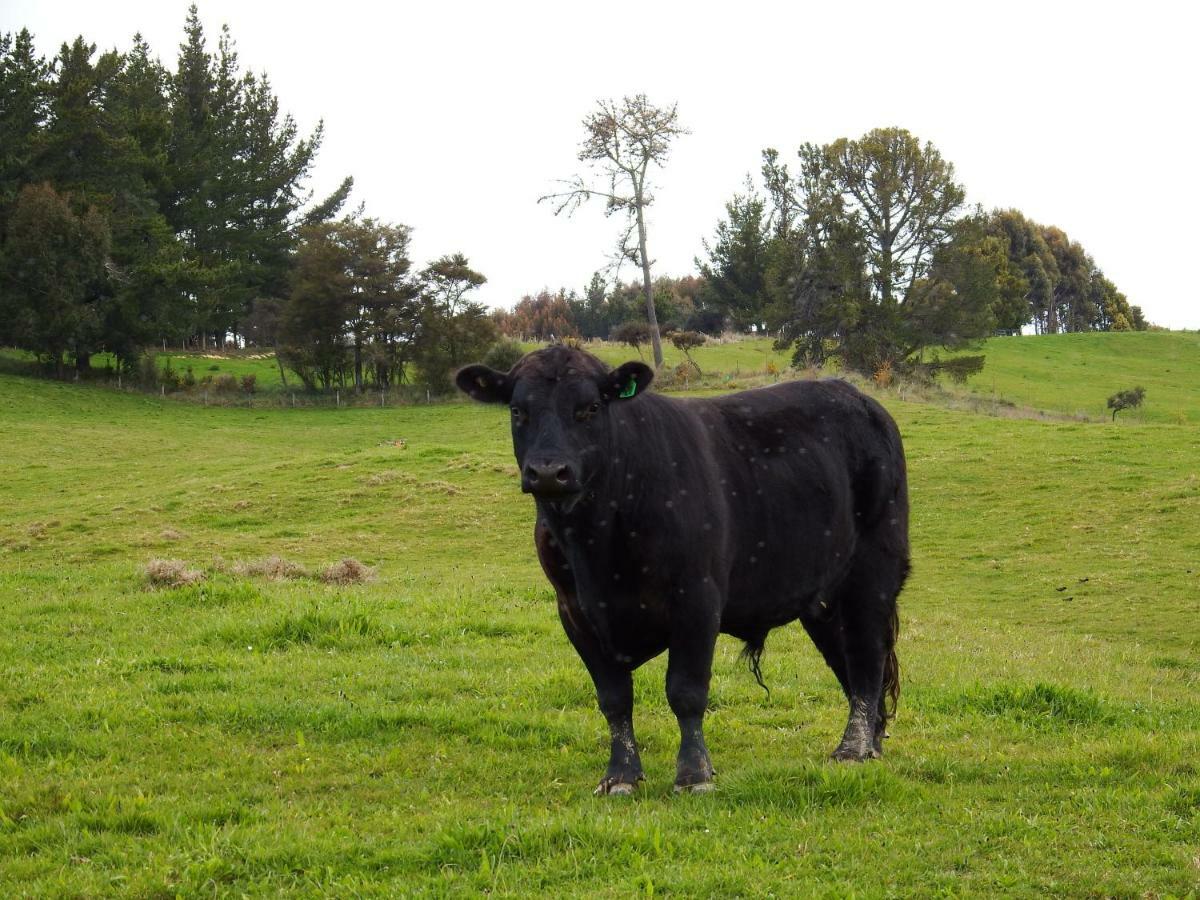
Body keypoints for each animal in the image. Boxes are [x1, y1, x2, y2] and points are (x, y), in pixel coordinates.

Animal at [458, 345, 907, 796]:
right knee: (845, 662)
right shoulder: (574, 611)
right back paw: (872, 742)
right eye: (518, 410)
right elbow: (614, 698)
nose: (549, 472)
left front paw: (694, 774)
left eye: (590, 408)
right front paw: (620, 775)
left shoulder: (697, 598)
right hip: (821, 597)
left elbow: (685, 691)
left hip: (872, 575)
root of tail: (858, 399)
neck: (598, 541)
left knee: (866, 658)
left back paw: (853, 748)